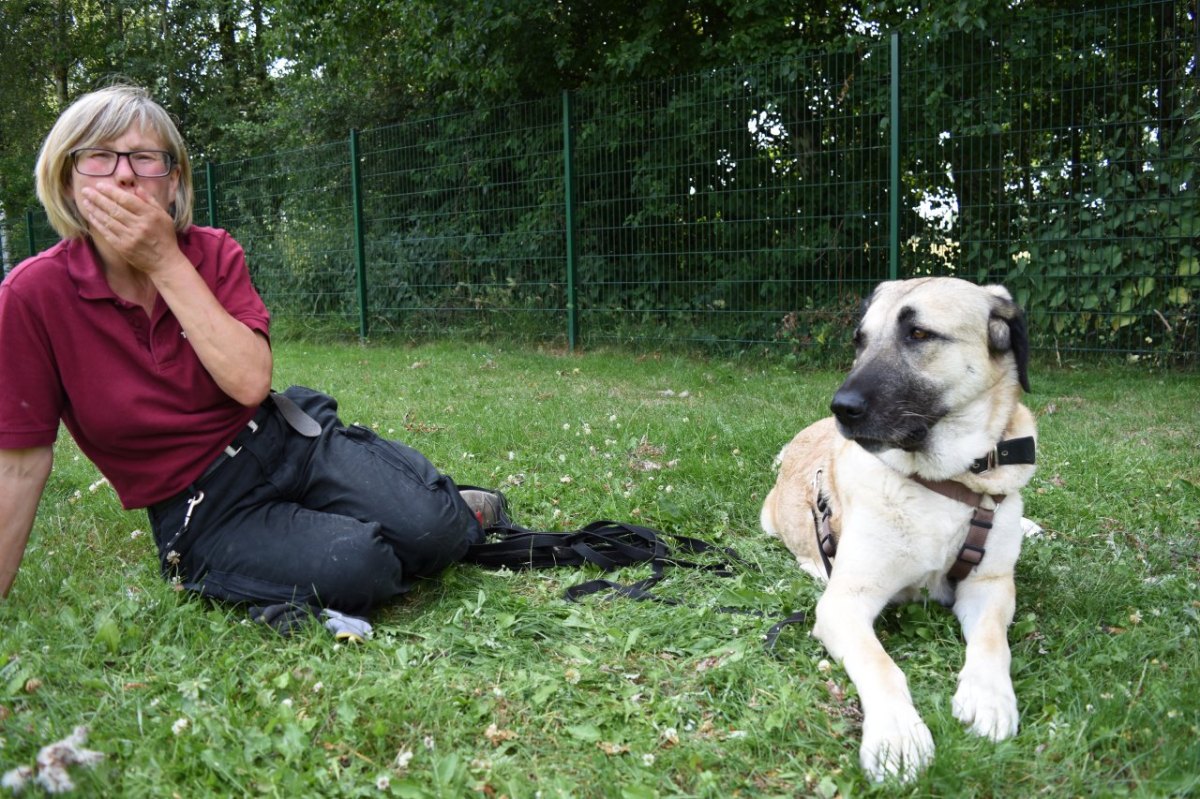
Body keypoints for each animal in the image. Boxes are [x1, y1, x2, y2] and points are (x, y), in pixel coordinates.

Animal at [763, 277, 1036, 782]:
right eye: (860, 340)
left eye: (919, 334)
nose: (841, 408)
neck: (946, 481)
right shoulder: (845, 603)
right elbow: (882, 665)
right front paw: (896, 735)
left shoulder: (990, 585)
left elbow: (993, 640)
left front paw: (988, 698)